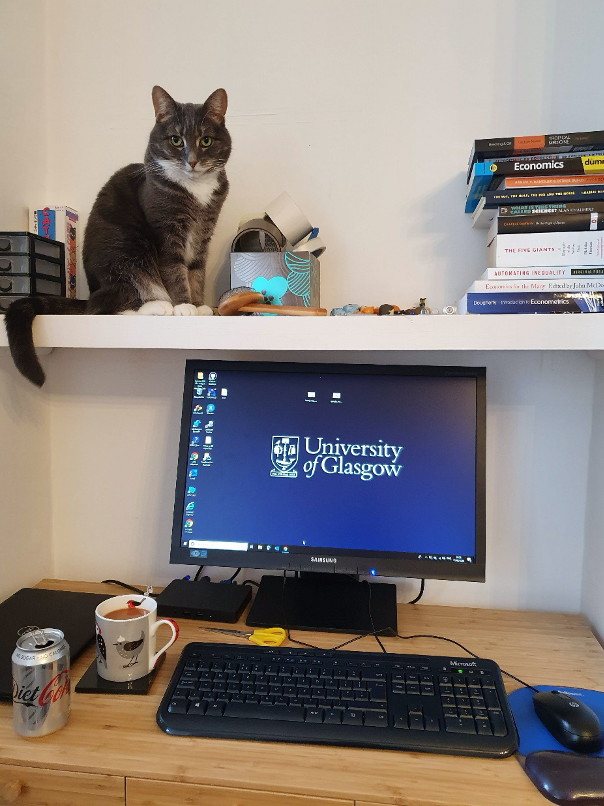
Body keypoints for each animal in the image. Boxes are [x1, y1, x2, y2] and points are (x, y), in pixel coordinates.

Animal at [4, 83, 231, 386]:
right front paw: (185, 306)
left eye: (205, 141)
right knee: (102, 308)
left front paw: (199, 304)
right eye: (175, 140)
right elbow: (175, 270)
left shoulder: (203, 232)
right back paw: (159, 306)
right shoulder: (166, 232)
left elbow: (196, 271)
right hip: (127, 252)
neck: (196, 192)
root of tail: (93, 289)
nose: (192, 161)